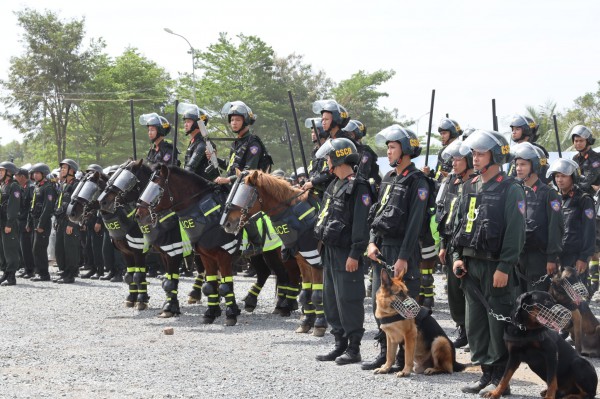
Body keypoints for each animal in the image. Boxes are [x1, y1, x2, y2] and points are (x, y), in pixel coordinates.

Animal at [136, 164, 241, 326]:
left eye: (158, 188)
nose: (138, 214)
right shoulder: (200, 255)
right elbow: (208, 284)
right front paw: (210, 313)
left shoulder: (223, 255)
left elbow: (225, 285)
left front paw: (230, 314)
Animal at [223, 170, 328, 338]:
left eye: (245, 195)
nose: (227, 224)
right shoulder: (302, 260)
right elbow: (306, 292)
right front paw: (306, 322)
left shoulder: (314, 259)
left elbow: (317, 294)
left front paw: (319, 325)